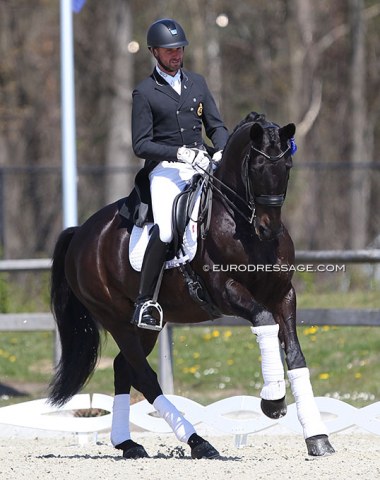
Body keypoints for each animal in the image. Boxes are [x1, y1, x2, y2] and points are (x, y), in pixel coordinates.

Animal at [49, 111, 334, 458]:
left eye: (288, 167)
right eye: (256, 168)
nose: (269, 229)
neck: (244, 227)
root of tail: (81, 232)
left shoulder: (283, 295)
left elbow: (295, 357)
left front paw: (317, 437)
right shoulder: (226, 292)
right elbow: (265, 322)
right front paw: (274, 402)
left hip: (145, 326)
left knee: (122, 368)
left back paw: (129, 444)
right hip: (115, 318)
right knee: (144, 375)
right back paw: (198, 442)